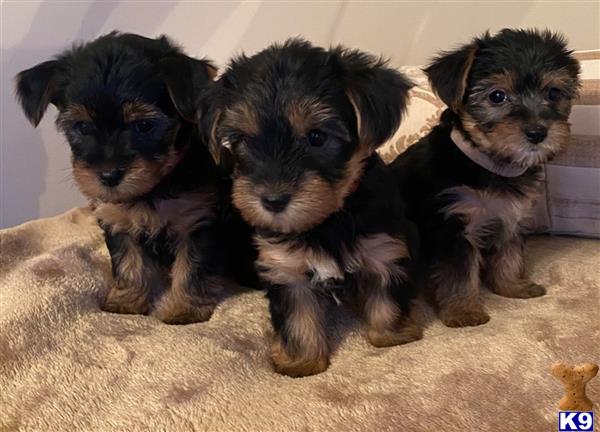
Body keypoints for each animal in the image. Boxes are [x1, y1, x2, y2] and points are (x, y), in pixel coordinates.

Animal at [14, 32, 253, 324]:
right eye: (82, 126)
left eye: (144, 126)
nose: (109, 175)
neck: (154, 187)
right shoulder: (117, 221)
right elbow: (127, 262)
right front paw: (125, 302)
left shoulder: (196, 219)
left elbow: (192, 267)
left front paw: (184, 310)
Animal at [209, 39, 424, 378]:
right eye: (243, 141)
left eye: (317, 137)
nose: (272, 200)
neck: (327, 219)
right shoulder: (285, 267)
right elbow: (298, 318)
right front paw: (301, 363)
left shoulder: (384, 248)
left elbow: (387, 297)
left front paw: (393, 336)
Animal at [390, 28, 580, 326]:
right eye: (497, 96)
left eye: (553, 93)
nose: (538, 132)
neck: (491, 164)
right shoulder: (451, 224)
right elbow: (458, 271)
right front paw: (463, 311)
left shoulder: (511, 214)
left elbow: (509, 254)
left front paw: (512, 286)